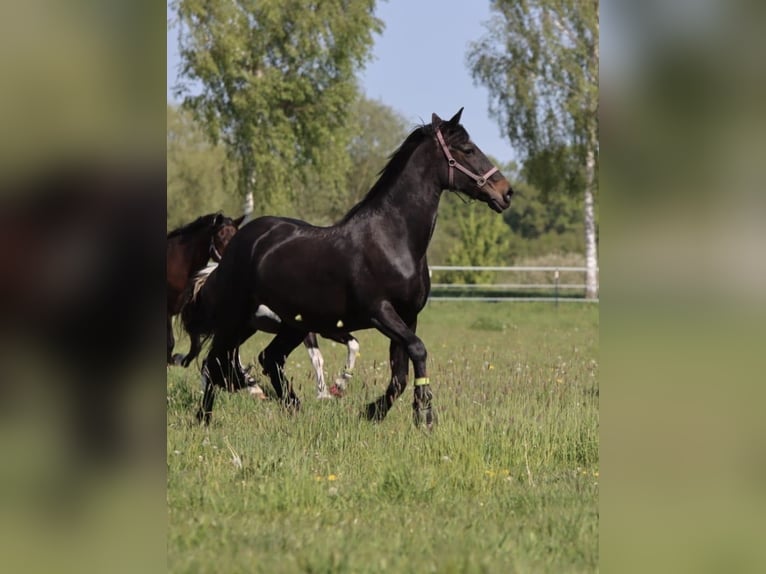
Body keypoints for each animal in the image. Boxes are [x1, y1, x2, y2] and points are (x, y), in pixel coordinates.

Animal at [180, 263, 360, 399]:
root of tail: (208, 278)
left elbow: (353, 345)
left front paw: (335, 388)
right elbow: (317, 358)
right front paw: (325, 393)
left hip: (247, 330)